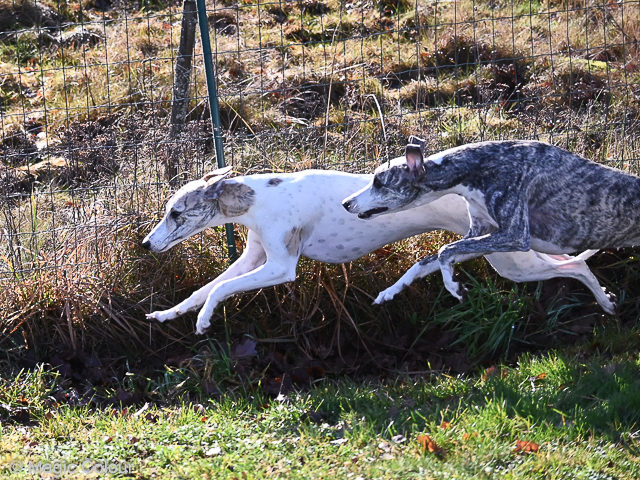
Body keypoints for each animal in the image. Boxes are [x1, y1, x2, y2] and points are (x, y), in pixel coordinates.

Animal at [142, 167, 612, 336]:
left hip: (514, 262)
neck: (259, 196)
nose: (146, 244)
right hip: (488, 251)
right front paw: (167, 314)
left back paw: (605, 302)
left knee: (576, 267)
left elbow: (221, 291)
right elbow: (205, 289)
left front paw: (203, 321)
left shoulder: (280, 267)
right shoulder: (254, 257)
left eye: (176, 213)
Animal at [340, 137, 624, 310]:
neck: (472, 169)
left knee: (577, 266)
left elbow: (444, 252)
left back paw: (605, 303)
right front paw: (390, 291)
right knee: (573, 262)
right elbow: (425, 262)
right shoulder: (475, 238)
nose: (345, 203)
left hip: (519, 266)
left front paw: (455, 288)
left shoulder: (507, 237)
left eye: (379, 183)